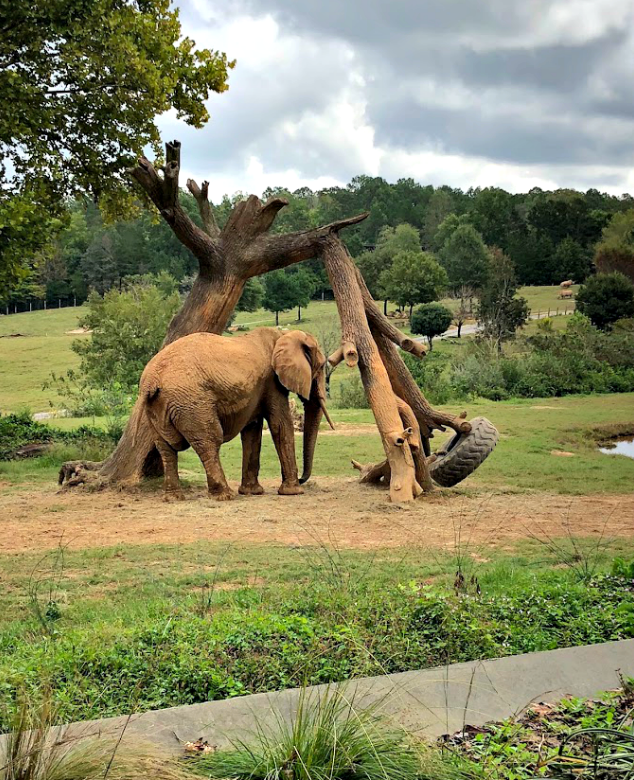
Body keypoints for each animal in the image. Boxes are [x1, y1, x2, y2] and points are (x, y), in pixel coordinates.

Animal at [136, 328, 334, 500]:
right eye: (321, 366)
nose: (302, 478)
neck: (284, 334)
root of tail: (151, 381)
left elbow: (252, 429)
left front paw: (252, 492)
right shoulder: (272, 382)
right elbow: (280, 424)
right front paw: (293, 492)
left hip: (158, 407)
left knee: (166, 448)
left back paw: (174, 498)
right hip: (192, 403)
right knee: (210, 441)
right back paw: (225, 496)